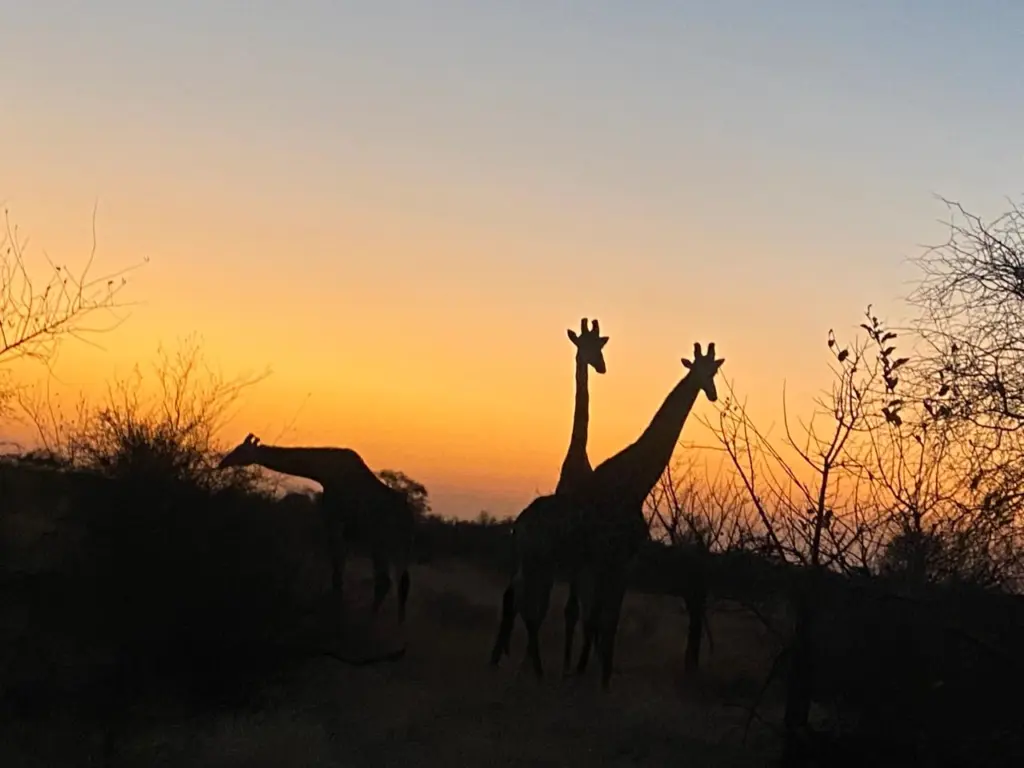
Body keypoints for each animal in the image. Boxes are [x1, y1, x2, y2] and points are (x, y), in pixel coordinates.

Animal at [216, 434, 415, 622]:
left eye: (240, 449)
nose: (222, 463)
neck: (322, 471)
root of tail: (408, 517)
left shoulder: (333, 518)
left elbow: (337, 566)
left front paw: (336, 606)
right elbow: (338, 564)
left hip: (383, 541)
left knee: (386, 581)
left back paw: (370, 620)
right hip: (388, 544)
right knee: (396, 581)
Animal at [488, 317, 609, 676]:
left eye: (600, 346)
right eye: (584, 346)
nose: (601, 366)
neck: (577, 460)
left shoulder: (573, 558)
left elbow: (570, 609)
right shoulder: (568, 558)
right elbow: (565, 609)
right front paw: (562, 664)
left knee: (524, 597)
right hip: (546, 560)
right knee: (523, 598)